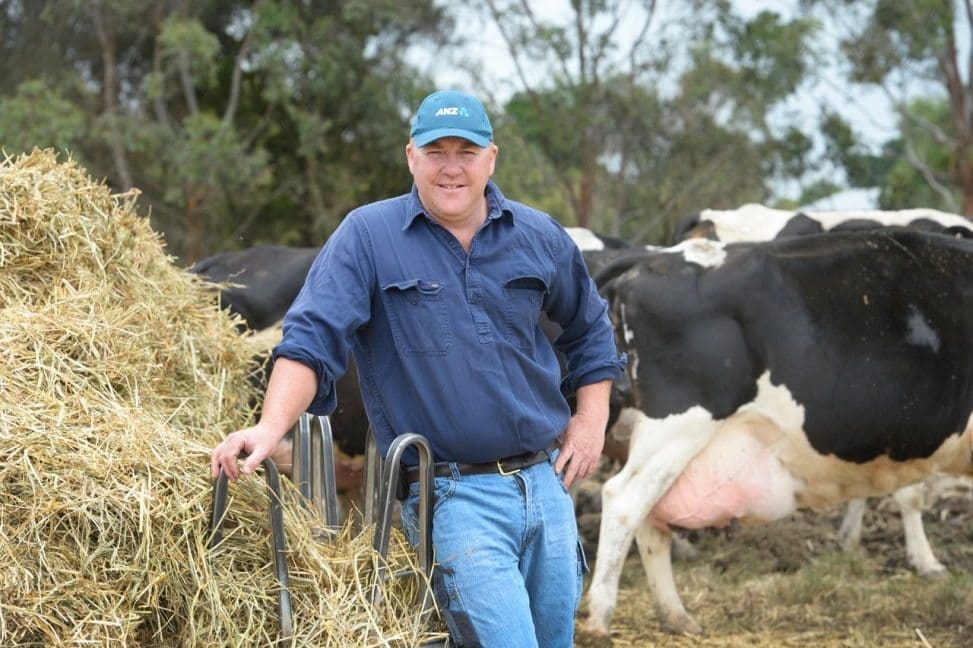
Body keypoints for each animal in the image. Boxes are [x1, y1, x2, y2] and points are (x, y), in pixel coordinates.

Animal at [580, 230, 972, 636]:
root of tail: (652, 259)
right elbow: (911, 495)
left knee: (649, 517)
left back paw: (676, 615)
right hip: (679, 424)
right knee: (624, 501)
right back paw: (600, 619)